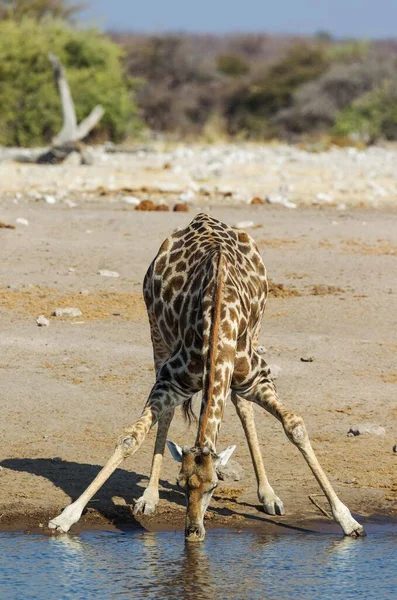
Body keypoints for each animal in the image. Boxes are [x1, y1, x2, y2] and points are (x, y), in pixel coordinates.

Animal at [48, 212, 364, 540]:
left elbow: (295, 426)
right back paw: (149, 497)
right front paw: (66, 517)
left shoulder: (258, 378)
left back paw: (268, 495)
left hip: (257, 330)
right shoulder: (170, 381)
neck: (217, 327)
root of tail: (203, 217)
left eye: (214, 486)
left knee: (242, 407)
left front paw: (348, 520)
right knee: (170, 412)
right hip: (157, 334)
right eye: (181, 483)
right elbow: (130, 437)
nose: (193, 531)